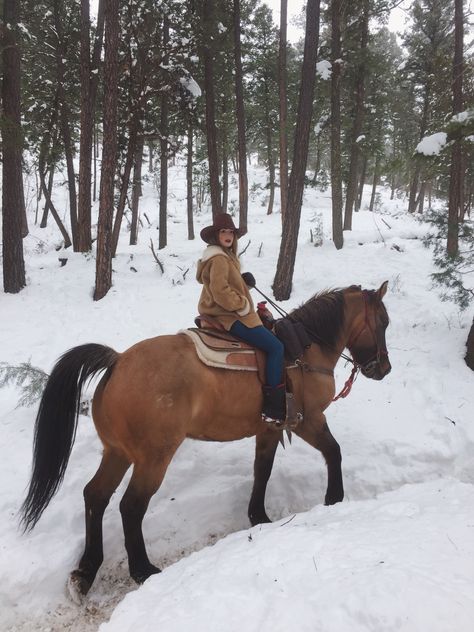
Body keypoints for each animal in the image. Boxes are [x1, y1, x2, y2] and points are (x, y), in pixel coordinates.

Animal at [20, 282, 390, 604]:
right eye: (383, 322)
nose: (383, 368)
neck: (305, 349)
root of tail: (118, 360)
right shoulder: (308, 420)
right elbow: (333, 452)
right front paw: (334, 499)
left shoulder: (269, 430)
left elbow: (263, 470)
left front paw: (258, 516)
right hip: (154, 458)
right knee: (131, 505)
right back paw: (143, 570)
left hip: (117, 452)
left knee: (95, 496)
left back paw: (85, 572)